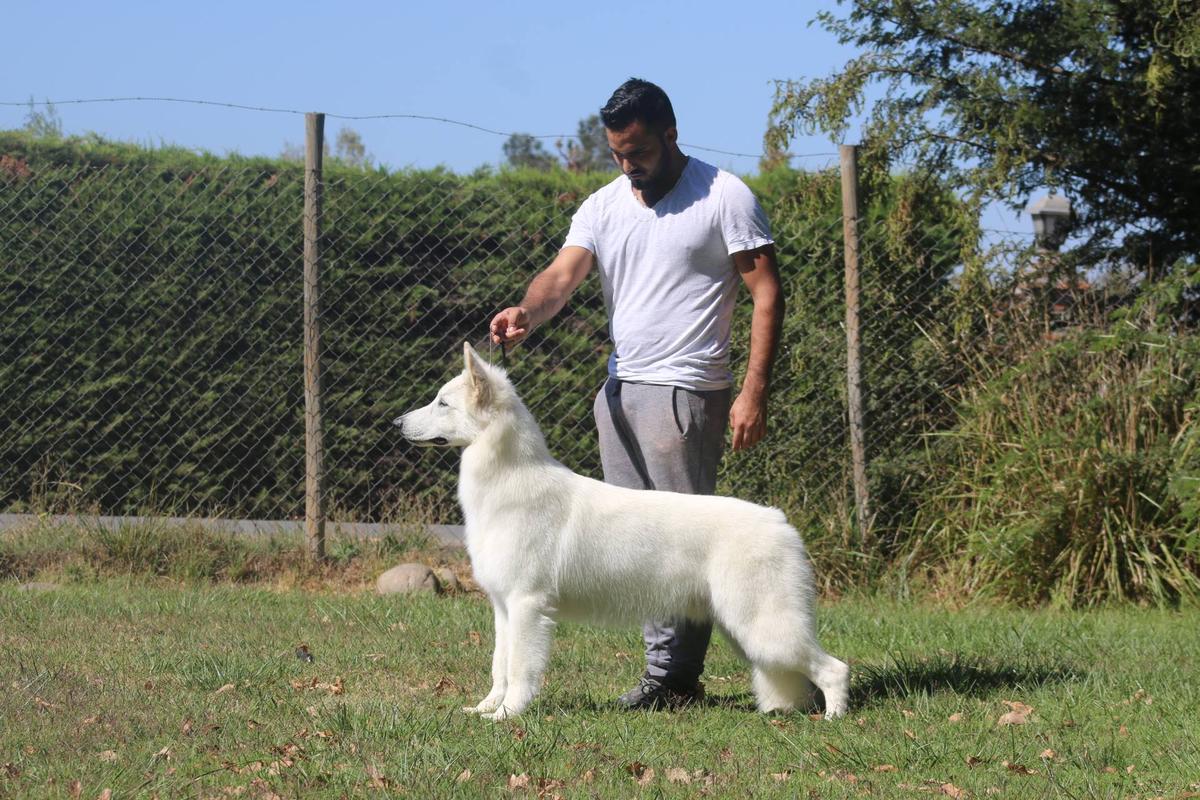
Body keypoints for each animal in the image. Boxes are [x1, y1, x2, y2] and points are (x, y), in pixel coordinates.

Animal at [396, 347, 854, 724]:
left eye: (442, 403)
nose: (396, 422)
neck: (509, 477)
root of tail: (779, 520)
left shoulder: (527, 606)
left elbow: (520, 667)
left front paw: (508, 715)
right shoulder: (504, 608)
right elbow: (499, 664)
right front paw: (486, 708)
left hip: (764, 627)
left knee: (835, 668)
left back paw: (834, 719)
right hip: (741, 629)